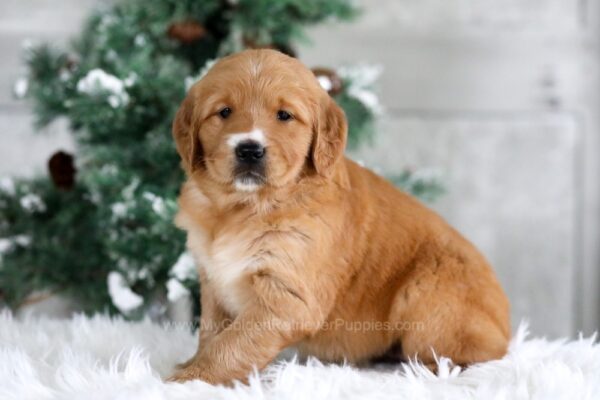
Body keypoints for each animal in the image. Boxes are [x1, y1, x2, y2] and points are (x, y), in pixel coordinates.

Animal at [169, 50, 510, 384]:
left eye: (284, 115)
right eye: (224, 112)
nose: (249, 150)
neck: (244, 207)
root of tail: (506, 322)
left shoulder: (288, 298)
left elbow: (232, 344)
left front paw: (192, 379)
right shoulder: (214, 281)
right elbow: (212, 333)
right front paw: (191, 365)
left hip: (429, 299)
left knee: (480, 355)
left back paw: (422, 371)